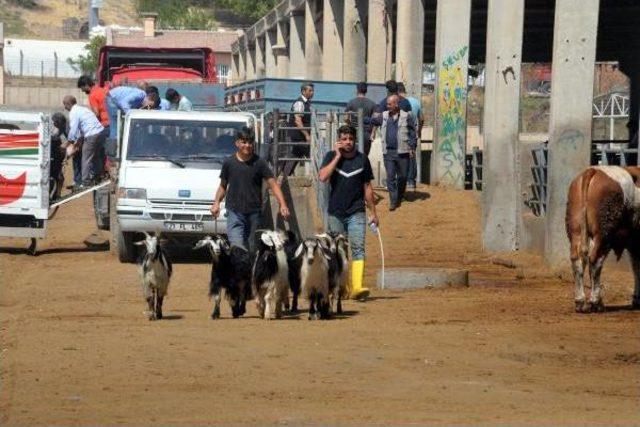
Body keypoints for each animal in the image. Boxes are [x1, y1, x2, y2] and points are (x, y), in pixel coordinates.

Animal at [564, 166, 640, 312]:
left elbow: (636, 267)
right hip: (603, 233)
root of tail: (593, 170)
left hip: (576, 231)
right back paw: (595, 301)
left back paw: (580, 301)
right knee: (595, 261)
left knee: (578, 260)